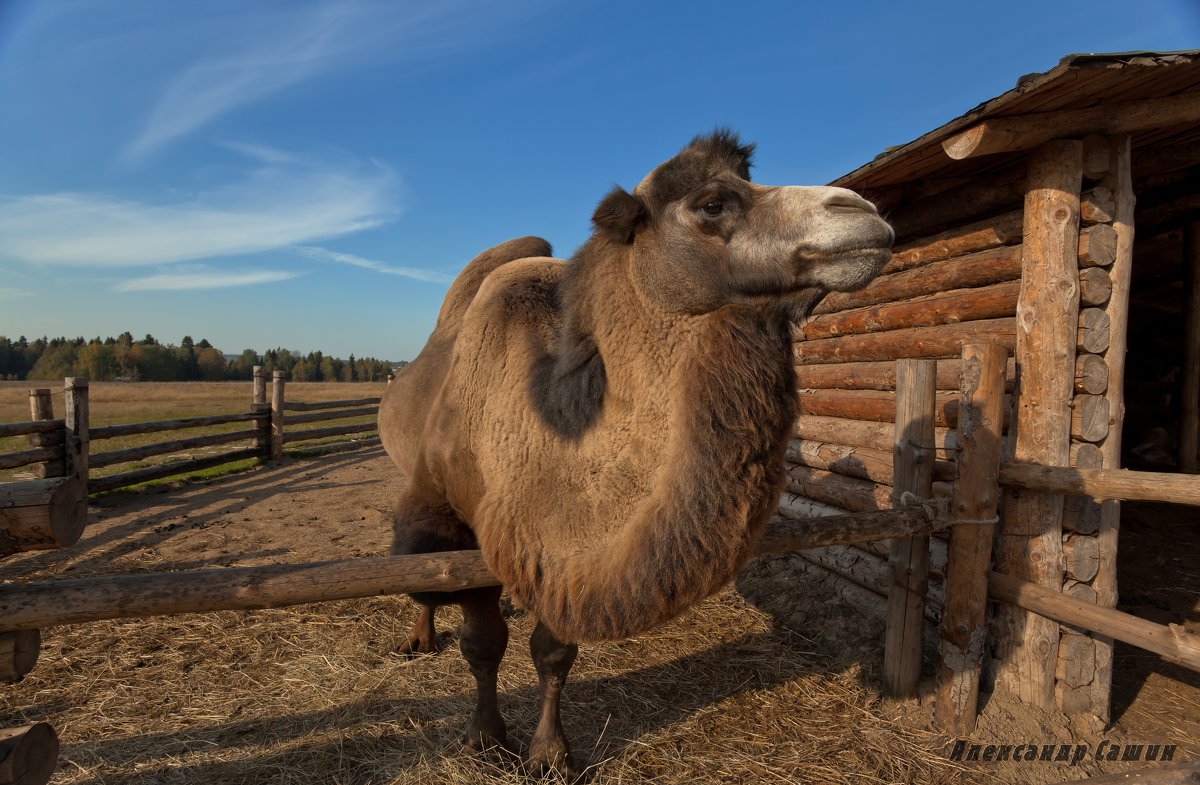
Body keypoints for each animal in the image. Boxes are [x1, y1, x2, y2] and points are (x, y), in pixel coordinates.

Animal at [379, 130, 897, 772]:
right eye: (711, 204)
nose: (864, 212)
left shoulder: (562, 551)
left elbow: (553, 651)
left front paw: (550, 753)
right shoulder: (469, 522)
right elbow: (482, 643)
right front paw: (486, 740)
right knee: (422, 568)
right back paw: (420, 638)